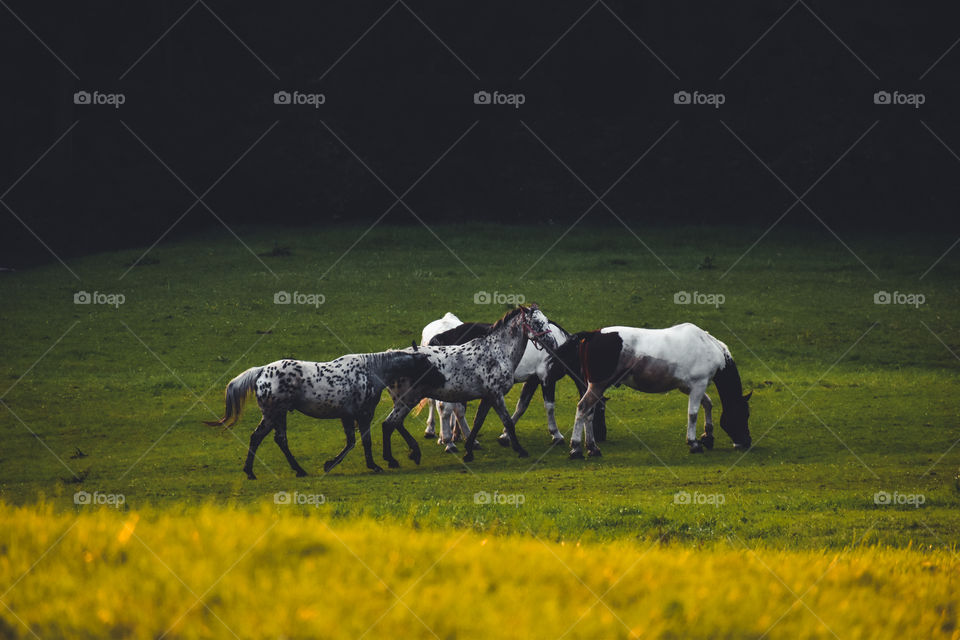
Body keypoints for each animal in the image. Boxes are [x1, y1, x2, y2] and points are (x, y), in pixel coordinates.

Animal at [204, 350, 444, 480]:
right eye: (428, 364)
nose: (442, 378)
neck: (371, 371)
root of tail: (261, 371)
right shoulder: (363, 414)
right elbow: (364, 441)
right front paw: (374, 465)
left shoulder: (347, 416)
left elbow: (351, 442)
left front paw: (330, 464)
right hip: (273, 415)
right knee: (259, 438)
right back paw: (253, 472)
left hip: (278, 416)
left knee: (278, 440)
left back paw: (295, 470)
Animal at [380, 304, 556, 464]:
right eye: (537, 323)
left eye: (546, 321)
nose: (553, 343)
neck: (496, 352)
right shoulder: (496, 396)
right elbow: (508, 422)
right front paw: (521, 450)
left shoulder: (488, 397)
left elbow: (478, 421)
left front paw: (469, 451)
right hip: (406, 401)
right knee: (389, 424)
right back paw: (395, 459)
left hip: (404, 402)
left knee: (395, 424)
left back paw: (413, 453)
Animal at [568, 324, 752, 460]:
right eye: (743, 414)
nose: (746, 442)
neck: (708, 346)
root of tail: (593, 334)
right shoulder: (698, 385)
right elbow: (693, 414)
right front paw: (694, 443)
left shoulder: (688, 387)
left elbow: (707, 404)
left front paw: (708, 436)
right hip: (598, 386)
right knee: (583, 409)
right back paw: (576, 449)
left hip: (594, 387)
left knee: (589, 414)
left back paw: (593, 448)